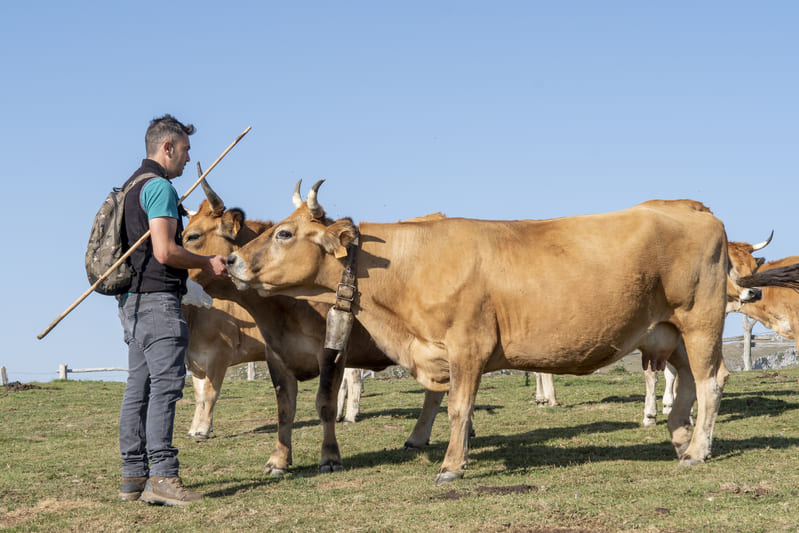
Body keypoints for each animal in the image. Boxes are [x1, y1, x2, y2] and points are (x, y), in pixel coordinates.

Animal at [182, 179, 446, 475]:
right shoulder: (275, 355)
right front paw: (278, 460)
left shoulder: (331, 352)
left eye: (192, 236)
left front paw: (330, 457)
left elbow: (325, 403)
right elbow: (284, 408)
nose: (230, 262)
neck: (288, 305)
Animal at [227, 181, 799, 484]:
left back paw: (699, 449)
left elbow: (458, 408)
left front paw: (451, 467)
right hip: (668, 332)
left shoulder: (467, 346)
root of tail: (692, 208)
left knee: (710, 380)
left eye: (284, 233)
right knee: (685, 385)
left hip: (700, 321)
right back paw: (681, 440)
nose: (230, 259)